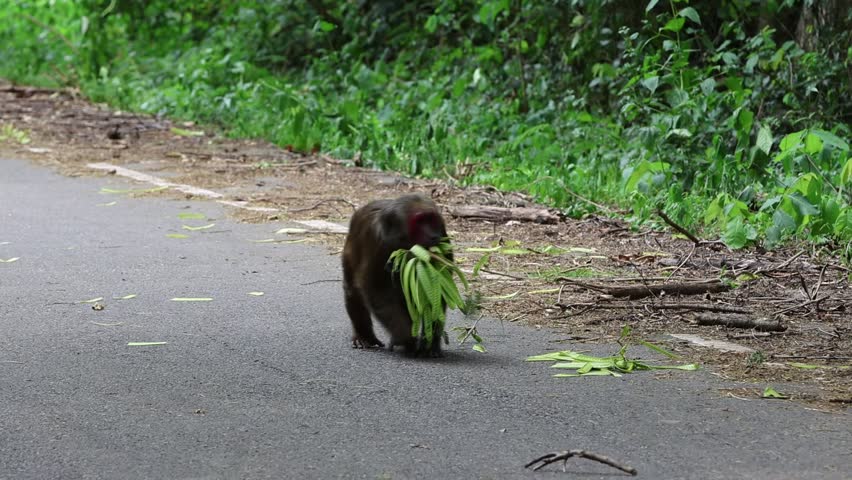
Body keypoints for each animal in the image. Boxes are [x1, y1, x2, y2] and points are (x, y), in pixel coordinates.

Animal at [342, 194, 451, 357]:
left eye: (431, 219)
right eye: (420, 221)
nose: (433, 235)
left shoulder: (442, 229)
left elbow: (438, 290)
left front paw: (430, 343)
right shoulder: (377, 240)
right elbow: (377, 290)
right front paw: (406, 338)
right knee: (353, 290)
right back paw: (364, 336)